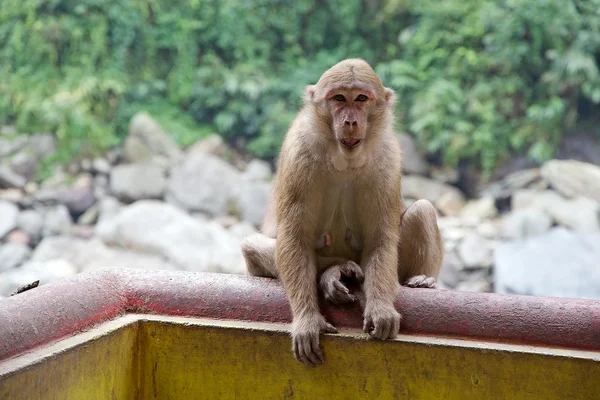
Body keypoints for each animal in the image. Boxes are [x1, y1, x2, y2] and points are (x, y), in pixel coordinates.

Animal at [241, 57, 442, 368]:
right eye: (338, 99)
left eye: (361, 99)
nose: (350, 121)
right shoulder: (300, 149)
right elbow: (294, 237)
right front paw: (307, 319)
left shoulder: (387, 156)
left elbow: (381, 238)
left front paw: (381, 307)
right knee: (252, 245)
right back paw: (334, 272)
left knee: (422, 210)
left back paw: (423, 279)